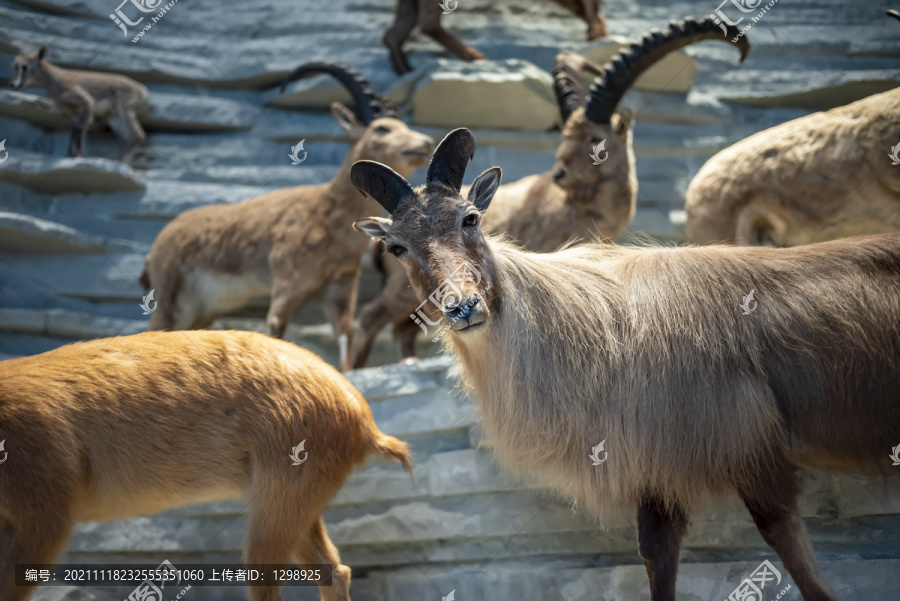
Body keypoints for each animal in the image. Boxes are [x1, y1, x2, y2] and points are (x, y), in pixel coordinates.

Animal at [10, 44, 148, 161]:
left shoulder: (86, 101)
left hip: (125, 110)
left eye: (24, 67)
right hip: (115, 117)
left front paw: (79, 154)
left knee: (138, 135)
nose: (13, 84)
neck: (57, 79)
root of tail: (140, 87)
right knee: (131, 138)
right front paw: (70, 154)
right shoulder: (74, 112)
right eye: (15, 66)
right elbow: (74, 129)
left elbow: (82, 127)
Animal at [348, 127, 900, 600]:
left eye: (470, 217)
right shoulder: (657, 474)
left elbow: (788, 544)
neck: (598, 323)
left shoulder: (752, 450)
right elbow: (657, 556)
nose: (462, 308)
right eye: (396, 246)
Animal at [356, 16, 748, 366]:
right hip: (401, 294)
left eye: (596, 137)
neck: (575, 211)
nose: (560, 172)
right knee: (370, 318)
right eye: (564, 136)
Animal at [384, 0, 608, 74]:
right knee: (427, 24)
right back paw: (473, 55)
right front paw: (598, 32)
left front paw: (599, 31)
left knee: (395, 31)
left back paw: (403, 68)